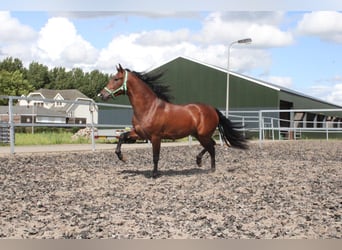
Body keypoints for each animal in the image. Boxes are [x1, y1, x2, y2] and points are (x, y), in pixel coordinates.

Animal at [97, 64, 247, 178]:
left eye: (116, 79)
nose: (102, 95)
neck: (149, 108)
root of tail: (212, 109)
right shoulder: (140, 133)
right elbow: (122, 136)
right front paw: (122, 157)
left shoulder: (155, 137)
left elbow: (155, 156)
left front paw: (154, 174)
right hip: (198, 135)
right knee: (212, 146)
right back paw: (204, 164)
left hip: (203, 135)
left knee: (212, 146)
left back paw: (208, 166)